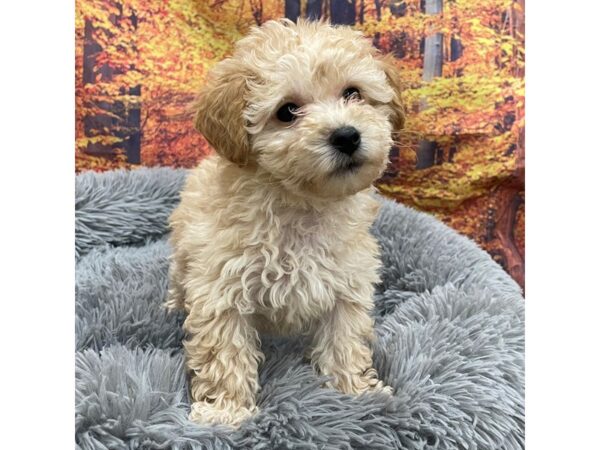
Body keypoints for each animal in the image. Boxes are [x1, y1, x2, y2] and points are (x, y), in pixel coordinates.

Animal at [166, 18, 406, 426]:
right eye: (287, 111)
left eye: (353, 93)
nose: (346, 135)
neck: (302, 206)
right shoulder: (220, 287)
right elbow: (224, 352)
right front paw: (225, 413)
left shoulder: (347, 282)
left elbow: (345, 339)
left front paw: (357, 393)